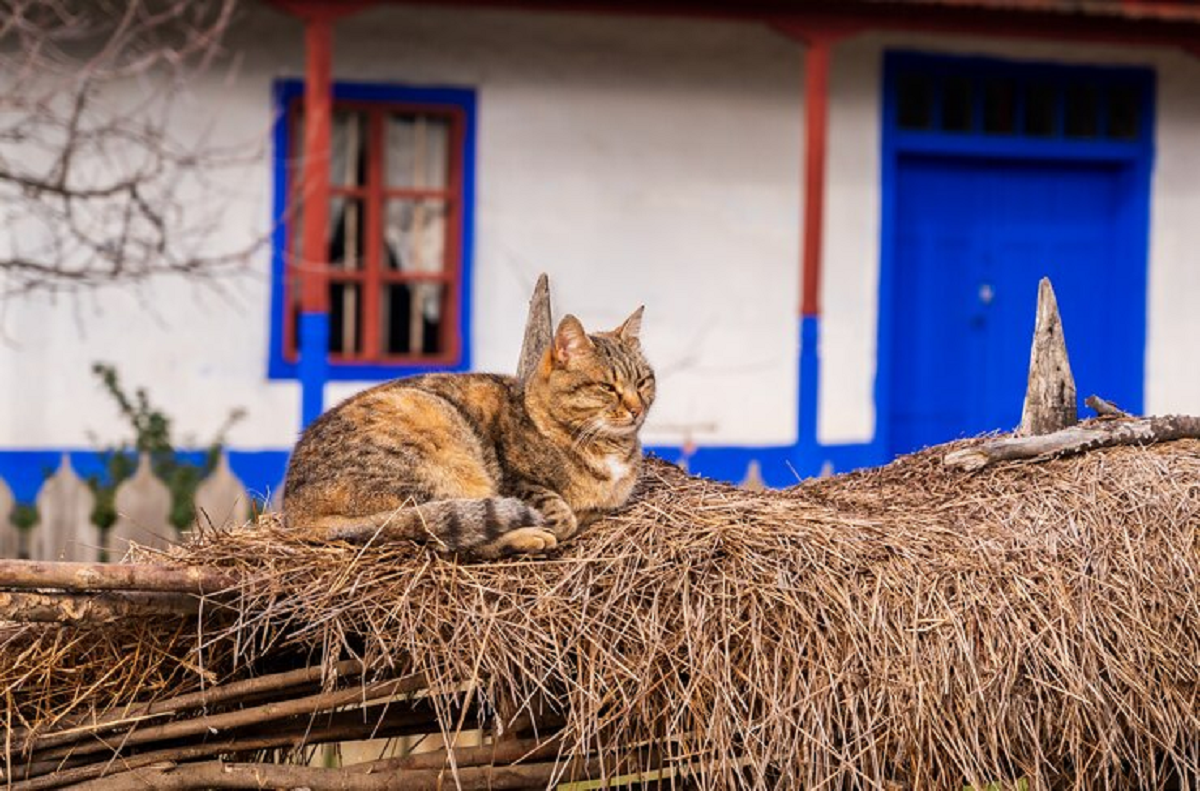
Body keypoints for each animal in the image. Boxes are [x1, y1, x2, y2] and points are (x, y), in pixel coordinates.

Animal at [280, 306, 657, 559]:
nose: (637, 408)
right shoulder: (514, 483)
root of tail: (294, 511)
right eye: (607, 387)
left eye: (642, 381)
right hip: (441, 456)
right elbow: (559, 512)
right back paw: (529, 536)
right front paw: (565, 520)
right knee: (446, 534)